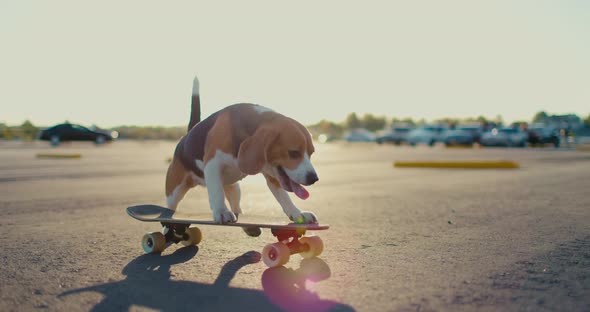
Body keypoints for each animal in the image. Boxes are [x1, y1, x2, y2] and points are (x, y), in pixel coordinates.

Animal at [164, 77, 322, 224]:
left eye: (311, 153)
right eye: (294, 153)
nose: (314, 178)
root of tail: (186, 136)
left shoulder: (272, 176)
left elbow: (284, 197)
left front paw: (297, 214)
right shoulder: (212, 164)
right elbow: (216, 191)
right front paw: (221, 211)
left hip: (235, 189)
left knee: (236, 206)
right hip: (174, 192)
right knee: (170, 207)